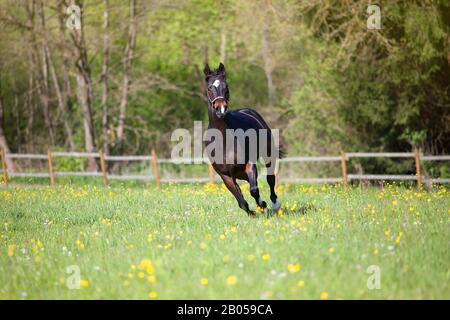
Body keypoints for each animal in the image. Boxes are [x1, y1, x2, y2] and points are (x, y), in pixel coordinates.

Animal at [203, 62, 284, 216]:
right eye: (210, 87)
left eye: (226, 86)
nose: (221, 109)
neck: (223, 140)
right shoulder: (225, 175)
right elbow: (240, 200)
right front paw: (252, 213)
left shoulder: (249, 164)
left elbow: (254, 190)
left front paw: (262, 205)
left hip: (268, 155)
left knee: (270, 179)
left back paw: (274, 204)